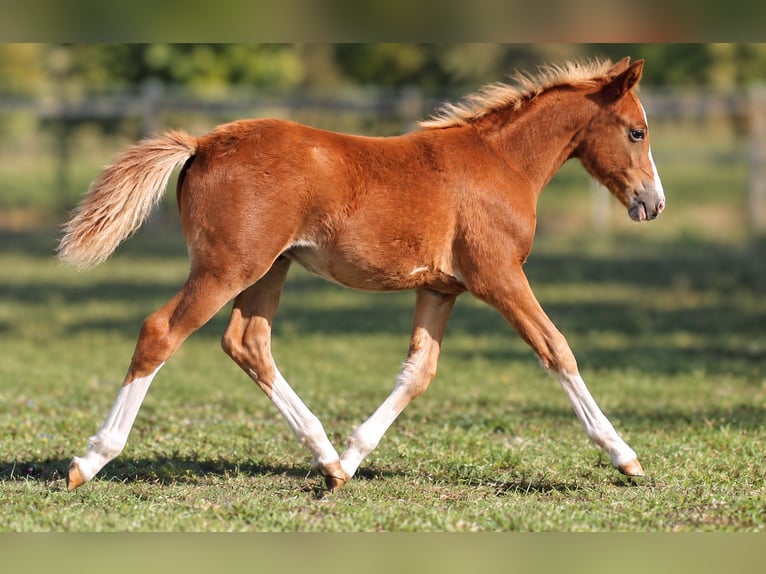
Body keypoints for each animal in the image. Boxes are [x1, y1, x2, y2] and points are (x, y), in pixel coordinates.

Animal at [59, 57, 665, 492]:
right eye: (637, 132)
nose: (653, 204)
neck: (501, 163)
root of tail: (203, 143)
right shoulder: (499, 276)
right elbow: (557, 348)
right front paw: (625, 457)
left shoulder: (440, 287)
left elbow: (418, 373)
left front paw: (351, 458)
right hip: (227, 267)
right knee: (161, 332)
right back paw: (90, 459)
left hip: (268, 269)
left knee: (248, 342)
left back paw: (326, 458)